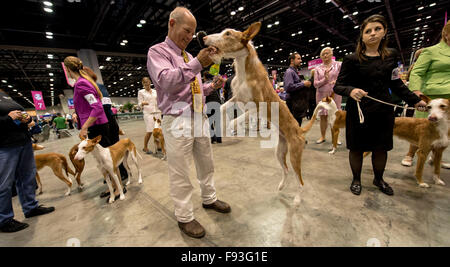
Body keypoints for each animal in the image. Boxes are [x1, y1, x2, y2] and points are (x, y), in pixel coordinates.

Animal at [204, 22, 320, 205]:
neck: (244, 70)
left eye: (228, 33)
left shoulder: (257, 106)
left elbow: (239, 117)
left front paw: (231, 126)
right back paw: (281, 186)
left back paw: (296, 199)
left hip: (295, 155)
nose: (203, 37)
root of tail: (300, 130)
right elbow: (223, 108)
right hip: (280, 151)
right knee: (286, 170)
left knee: (300, 180)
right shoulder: (237, 97)